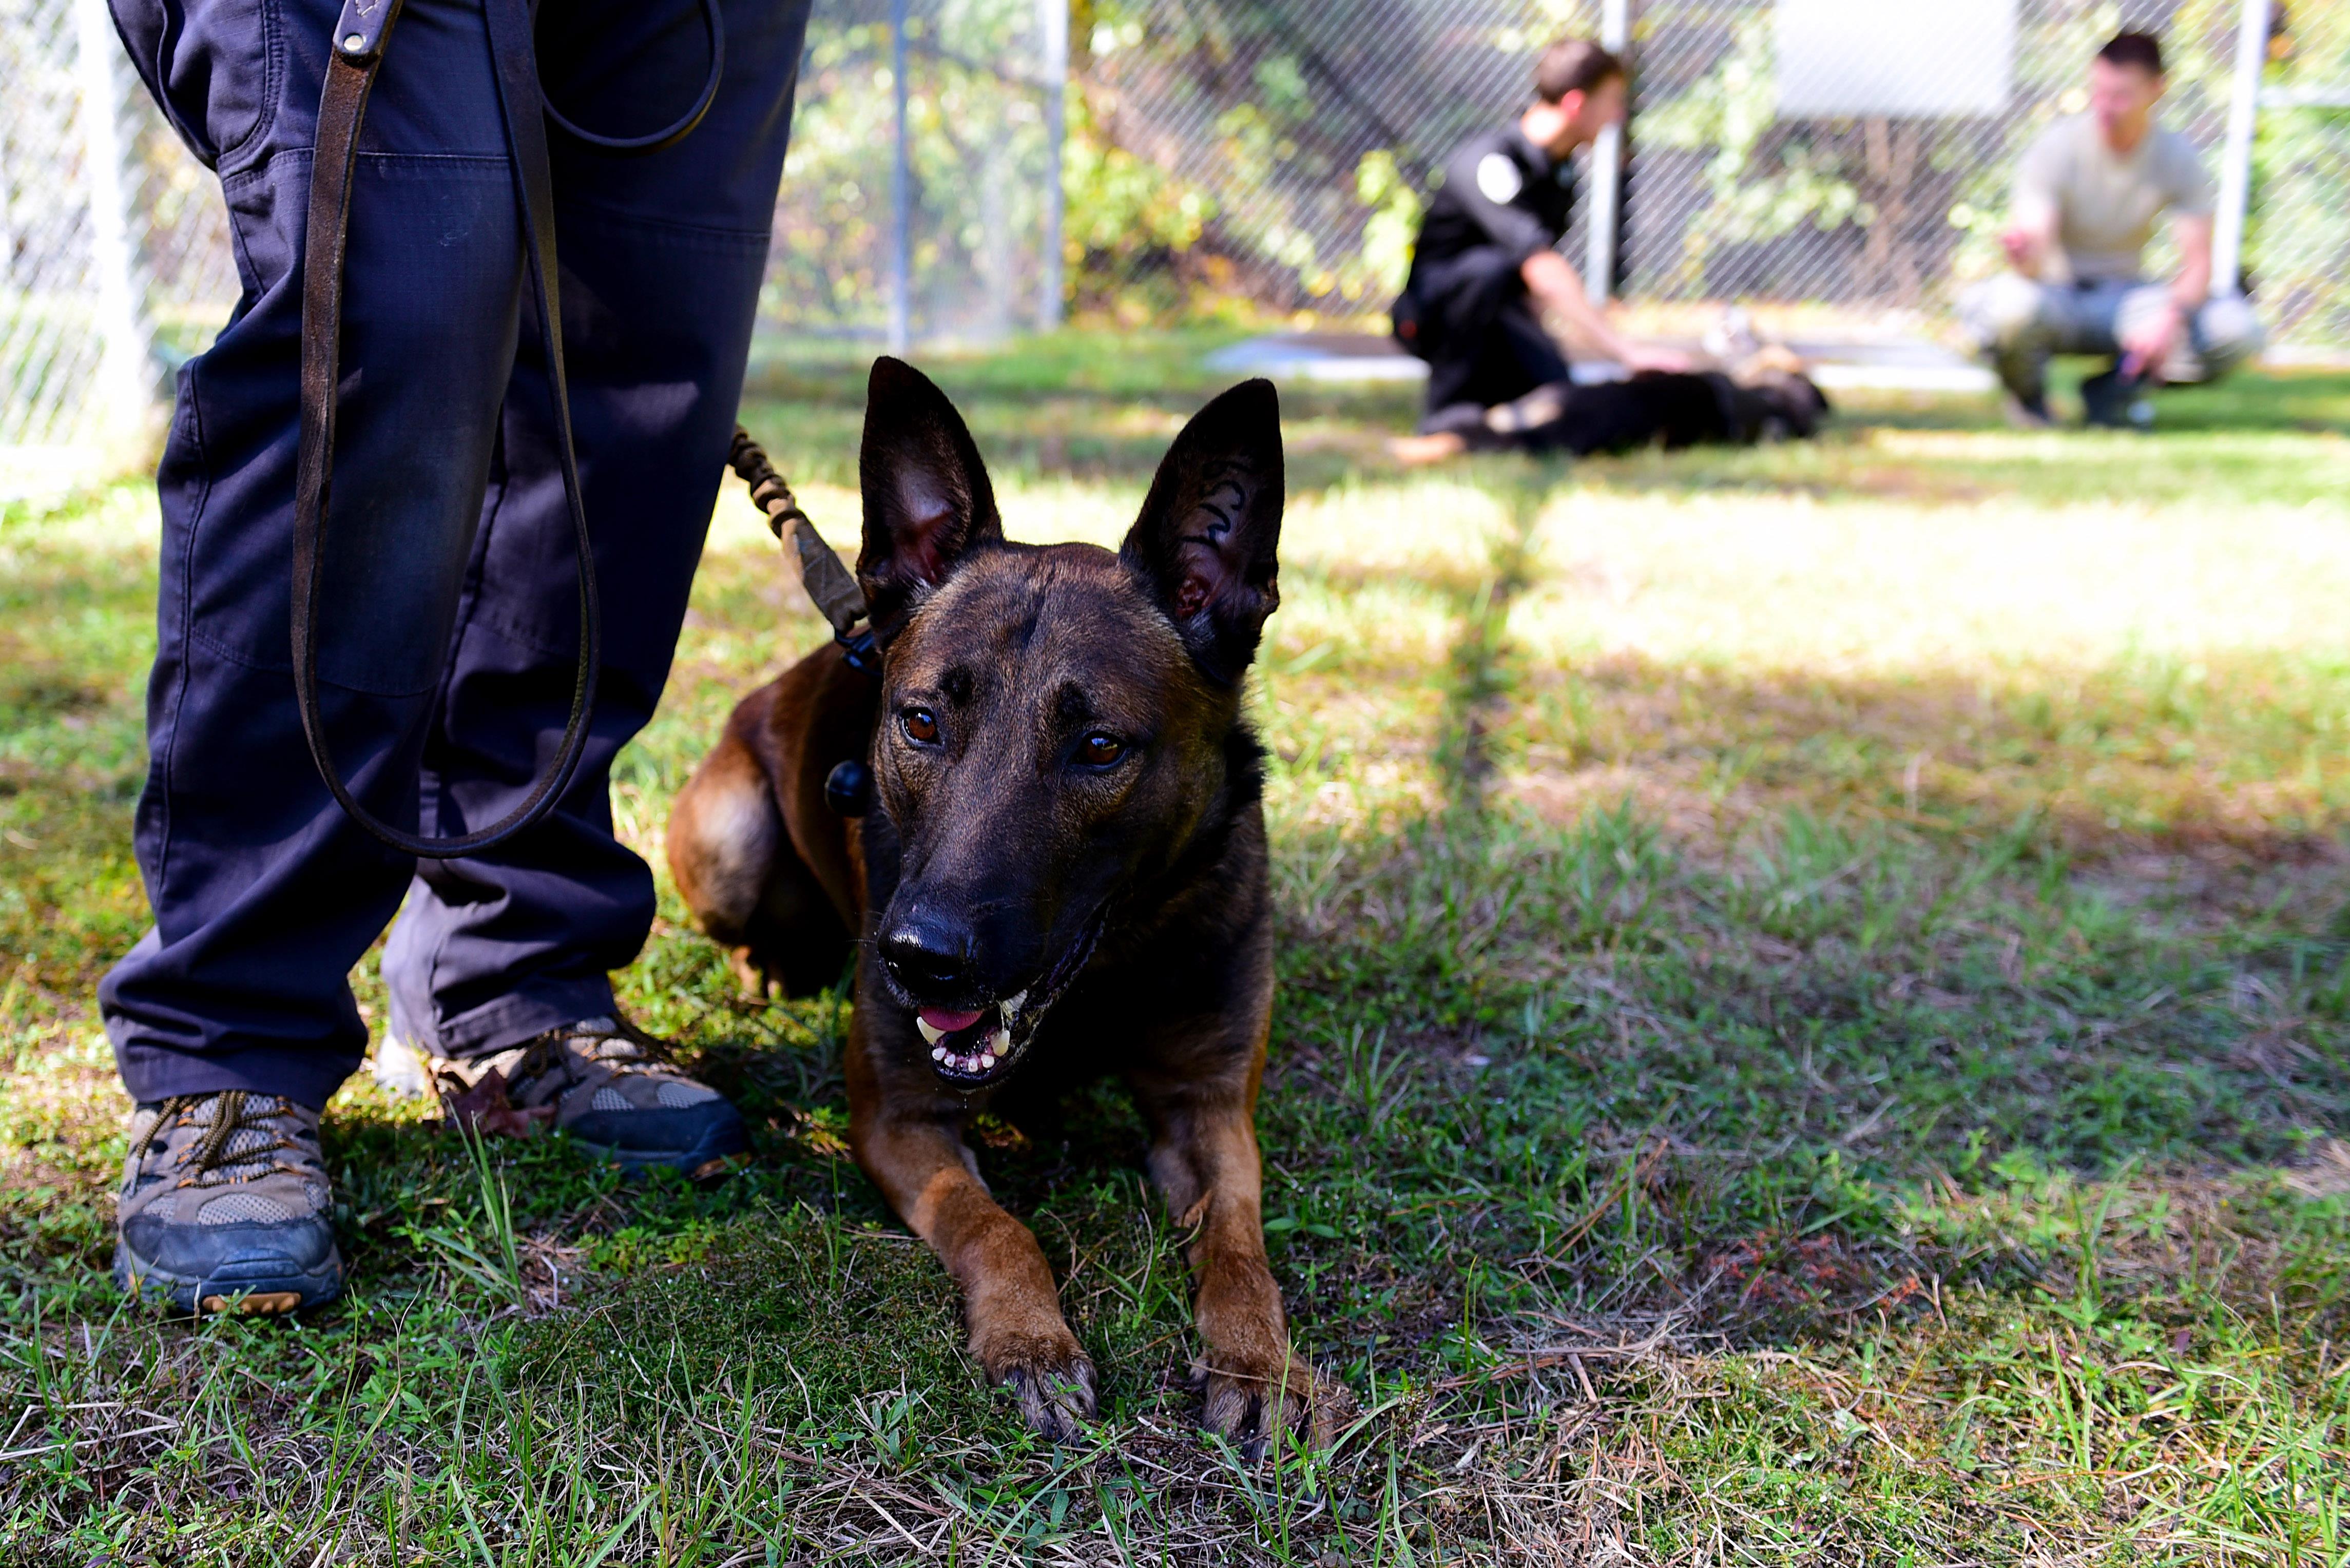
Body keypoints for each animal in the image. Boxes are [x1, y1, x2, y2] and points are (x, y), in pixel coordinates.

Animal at [667, 355, 1325, 1448]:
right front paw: (1031, 1343)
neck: (1099, 979)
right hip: (729, 842)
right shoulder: (899, 1119)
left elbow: (1239, 1245)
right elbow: (996, 1227)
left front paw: (1262, 1361)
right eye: (921, 723)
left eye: (1098, 746)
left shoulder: (1211, 1107)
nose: (918, 959)